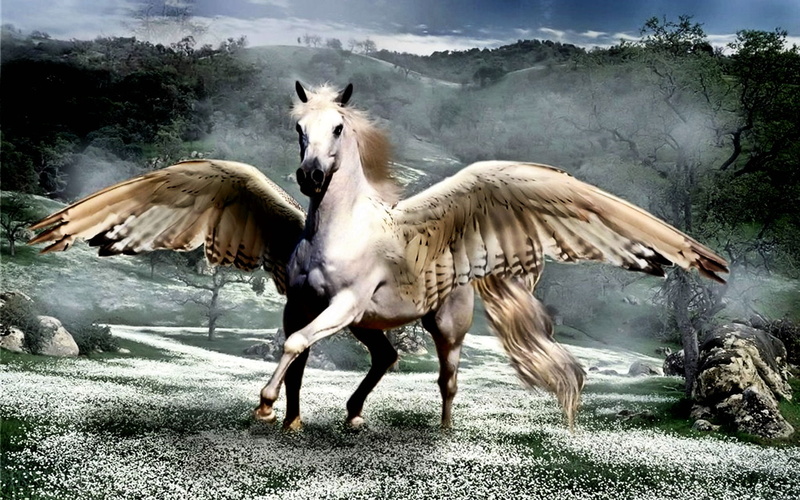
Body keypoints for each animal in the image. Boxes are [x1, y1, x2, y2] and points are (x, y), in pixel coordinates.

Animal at [29, 82, 728, 431]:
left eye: (339, 127)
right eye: (298, 128)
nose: (311, 176)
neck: (335, 230)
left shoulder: (339, 303)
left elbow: (293, 349)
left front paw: (264, 406)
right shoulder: (303, 303)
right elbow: (296, 351)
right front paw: (289, 420)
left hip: (438, 327)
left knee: (446, 378)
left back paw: (443, 433)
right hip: (370, 323)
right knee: (388, 358)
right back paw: (353, 416)